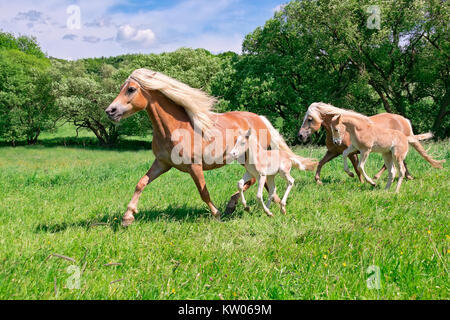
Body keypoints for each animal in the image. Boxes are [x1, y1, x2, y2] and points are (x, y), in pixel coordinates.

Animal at [106, 69, 318, 226]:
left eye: (131, 89)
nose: (110, 111)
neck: (175, 129)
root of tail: (261, 119)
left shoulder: (194, 166)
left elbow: (203, 192)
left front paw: (216, 214)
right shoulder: (162, 163)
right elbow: (141, 183)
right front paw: (127, 217)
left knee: (256, 181)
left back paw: (238, 206)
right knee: (262, 182)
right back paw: (268, 204)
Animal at [298, 101, 434, 184]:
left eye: (309, 119)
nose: (300, 135)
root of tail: (404, 120)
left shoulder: (353, 153)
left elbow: (357, 168)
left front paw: (359, 179)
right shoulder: (333, 152)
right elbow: (320, 163)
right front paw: (318, 180)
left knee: (391, 164)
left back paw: (377, 177)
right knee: (400, 162)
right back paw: (407, 176)